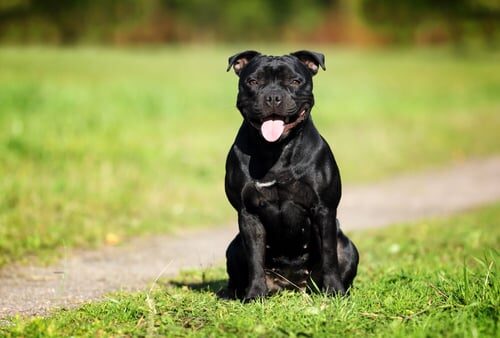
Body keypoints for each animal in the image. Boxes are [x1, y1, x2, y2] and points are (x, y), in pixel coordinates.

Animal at [224, 50, 360, 302]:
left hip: (347, 247)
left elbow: (329, 254)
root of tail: (292, 284)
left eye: (295, 81)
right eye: (253, 81)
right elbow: (255, 259)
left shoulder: (324, 209)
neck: (275, 150)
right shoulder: (248, 213)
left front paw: (334, 292)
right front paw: (255, 295)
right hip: (234, 249)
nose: (273, 97)